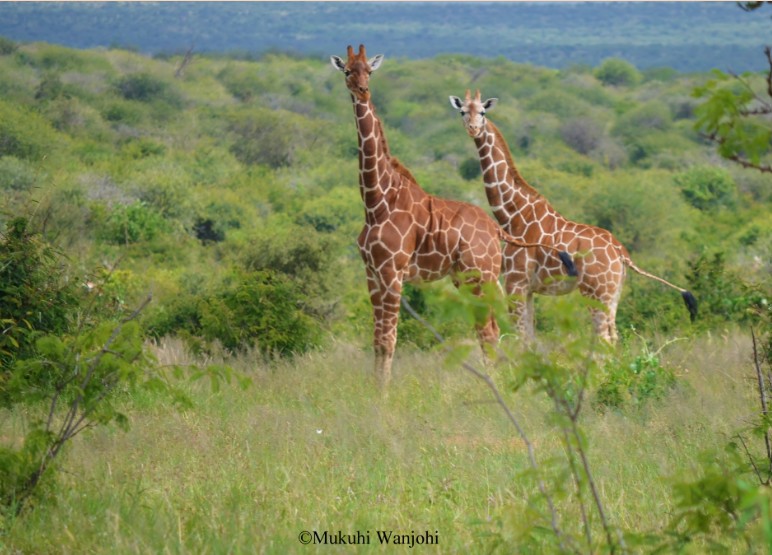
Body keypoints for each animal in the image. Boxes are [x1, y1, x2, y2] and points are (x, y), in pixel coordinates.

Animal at [331, 46, 573, 387]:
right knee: (490, 331)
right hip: (467, 277)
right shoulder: (372, 272)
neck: (376, 200)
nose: (362, 90)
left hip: (480, 275)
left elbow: (389, 339)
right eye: (347, 71)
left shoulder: (393, 271)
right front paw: (373, 389)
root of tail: (496, 230)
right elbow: (377, 340)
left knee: (490, 332)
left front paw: (383, 394)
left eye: (369, 70)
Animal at [449, 89, 697, 343]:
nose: (473, 128)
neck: (513, 215)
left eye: (482, 112)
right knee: (614, 337)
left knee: (603, 338)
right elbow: (530, 338)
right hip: (614, 294)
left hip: (595, 292)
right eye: (462, 111)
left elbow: (521, 338)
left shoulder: (515, 283)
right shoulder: (528, 289)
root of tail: (621, 253)